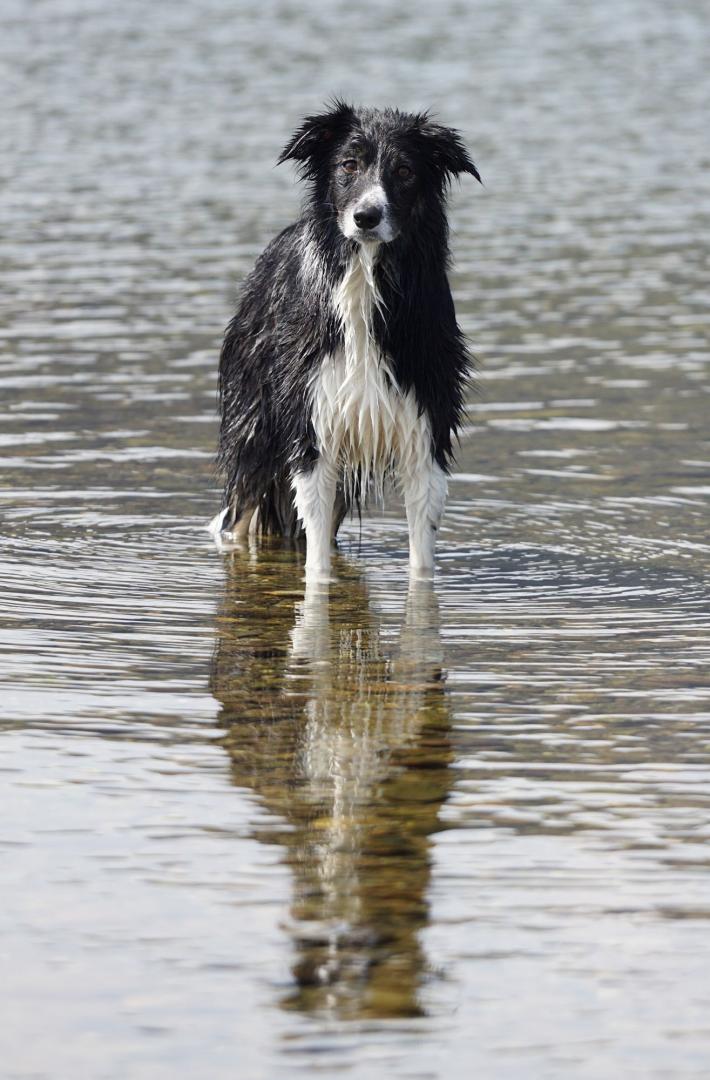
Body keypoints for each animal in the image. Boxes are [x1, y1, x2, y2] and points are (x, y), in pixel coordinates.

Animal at [207, 98, 479, 578]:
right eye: (349, 165)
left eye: (405, 171)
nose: (366, 217)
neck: (366, 277)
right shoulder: (313, 427)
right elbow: (315, 558)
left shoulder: (425, 427)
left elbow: (421, 557)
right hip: (257, 432)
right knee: (241, 514)